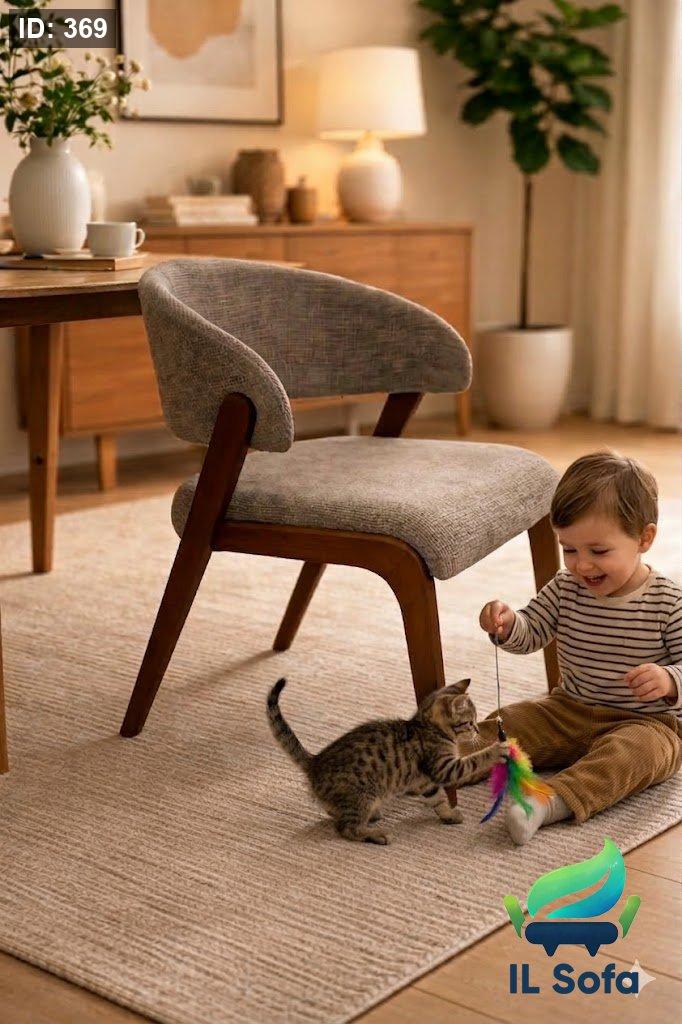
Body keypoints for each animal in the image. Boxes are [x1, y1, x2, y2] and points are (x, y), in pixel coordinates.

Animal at [266, 677, 506, 845]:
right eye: (470, 722)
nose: (477, 731)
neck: (427, 727)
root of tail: (315, 762)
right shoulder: (443, 767)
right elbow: (474, 760)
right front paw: (497, 750)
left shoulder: (424, 781)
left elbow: (438, 799)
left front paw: (448, 815)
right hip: (364, 794)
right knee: (347, 829)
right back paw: (377, 835)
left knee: (335, 813)